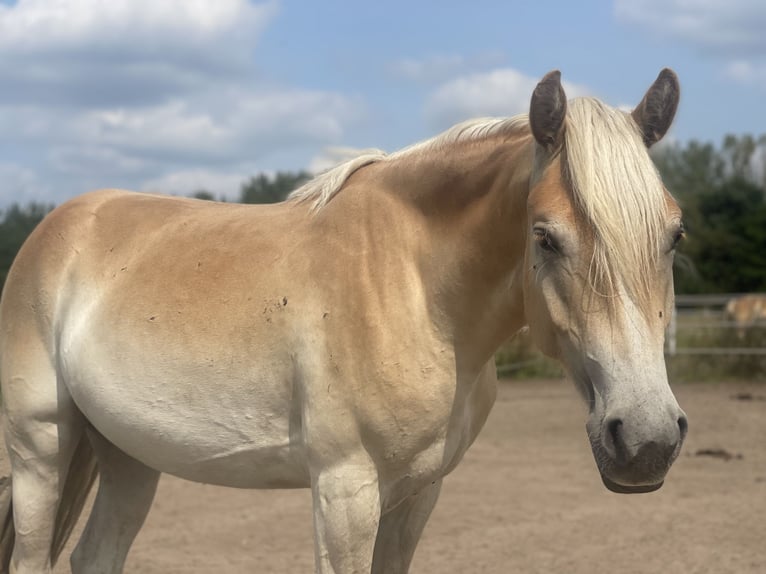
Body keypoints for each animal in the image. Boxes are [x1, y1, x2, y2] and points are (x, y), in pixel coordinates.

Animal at [0, 71, 688, 574]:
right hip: (40, 451)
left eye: (675, 235)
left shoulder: (417, 494)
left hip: (130, 455)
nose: (647, 440)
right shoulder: (344, 492)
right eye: (545, 237)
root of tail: (56, 229)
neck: (414, 288)